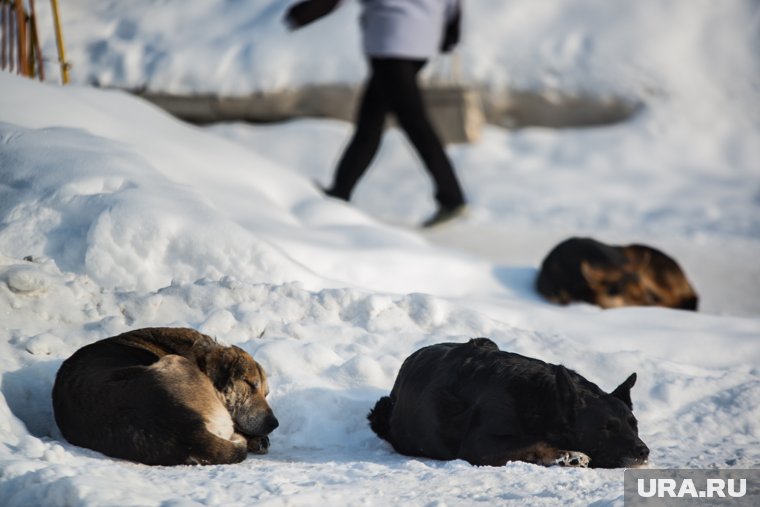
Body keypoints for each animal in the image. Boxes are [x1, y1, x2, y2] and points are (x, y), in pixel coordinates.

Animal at [53, 328, 280, 466]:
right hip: (175, 361)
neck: (201, 358)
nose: (274, 423)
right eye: (250, 385)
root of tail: (188, 429)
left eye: (266, 393)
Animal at [368, 340, 648, 470]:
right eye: (606, 428)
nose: (643, 451)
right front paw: (567, 454)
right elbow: (533, 442)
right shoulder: (478, 445)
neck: (543, 400)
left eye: (634, 425)